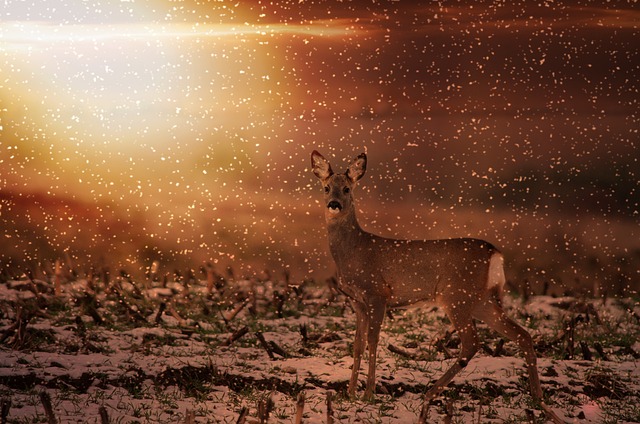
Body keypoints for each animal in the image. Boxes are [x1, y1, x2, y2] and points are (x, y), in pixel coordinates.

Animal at [311, 150, 565, 424]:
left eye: (347, 189)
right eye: (326, 187)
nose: (333, 204)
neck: (355, 251)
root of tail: (495, 254)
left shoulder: (378, 294)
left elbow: (373, 340)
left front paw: (368, 394)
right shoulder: (356, 300)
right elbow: (357, 344)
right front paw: (349, 393)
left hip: (456, 296)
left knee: (472, 342)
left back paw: (431, 393)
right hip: (482, 301)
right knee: (522, 334)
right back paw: (539, 401)